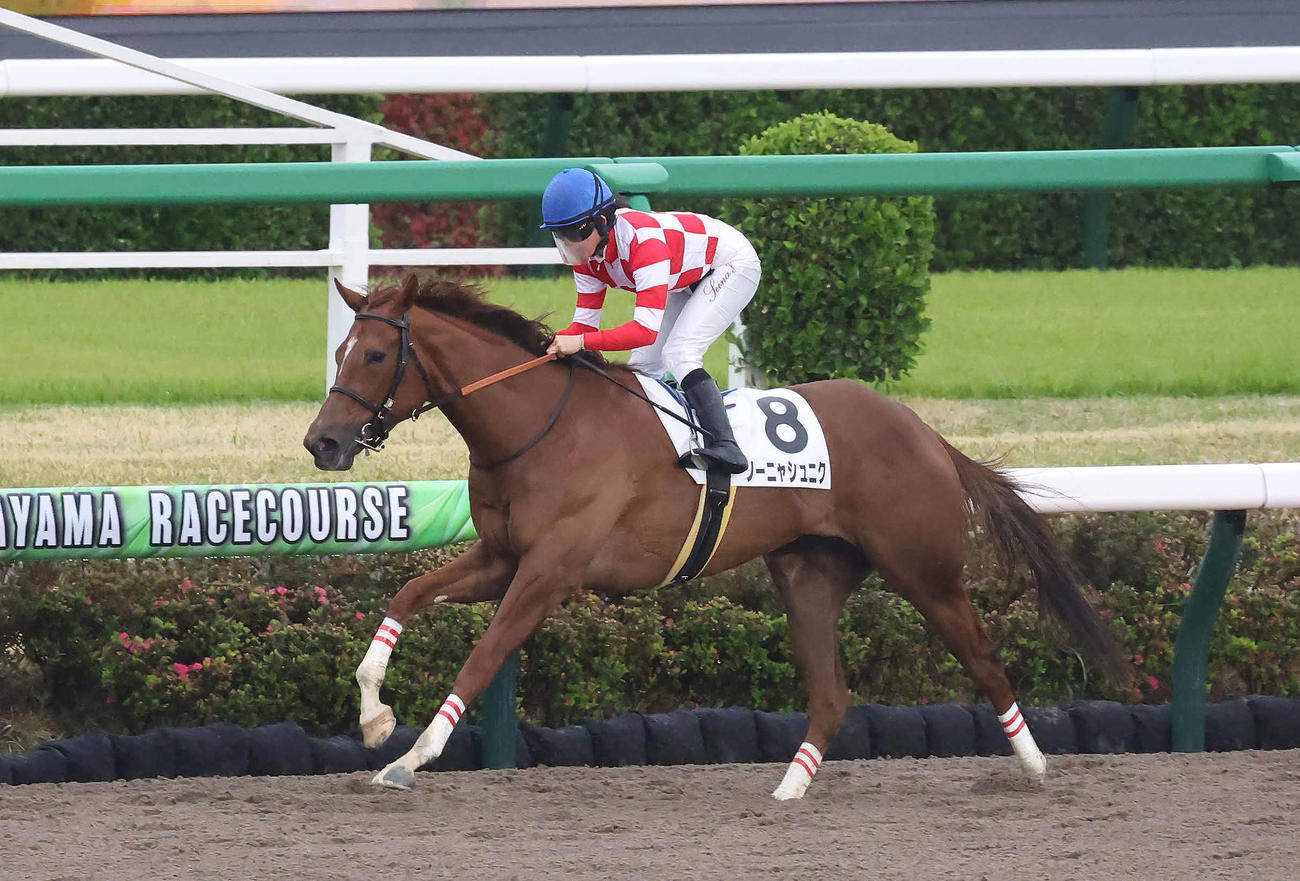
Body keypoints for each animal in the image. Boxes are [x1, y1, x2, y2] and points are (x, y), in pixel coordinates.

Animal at [304, 273, 1129, 799]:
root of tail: (926, 434)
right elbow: (409, 593)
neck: (541, 425)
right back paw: (788, 789)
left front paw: (411, 758)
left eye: (374, 355)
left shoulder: (549, 572)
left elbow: (481, 658)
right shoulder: (503, 557)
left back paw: (1033, 766)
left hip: (921, 566)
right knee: (832, 692)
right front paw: (375, 715)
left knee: (985, 659)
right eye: (339, 351)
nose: (322, 443)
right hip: (809, 574)